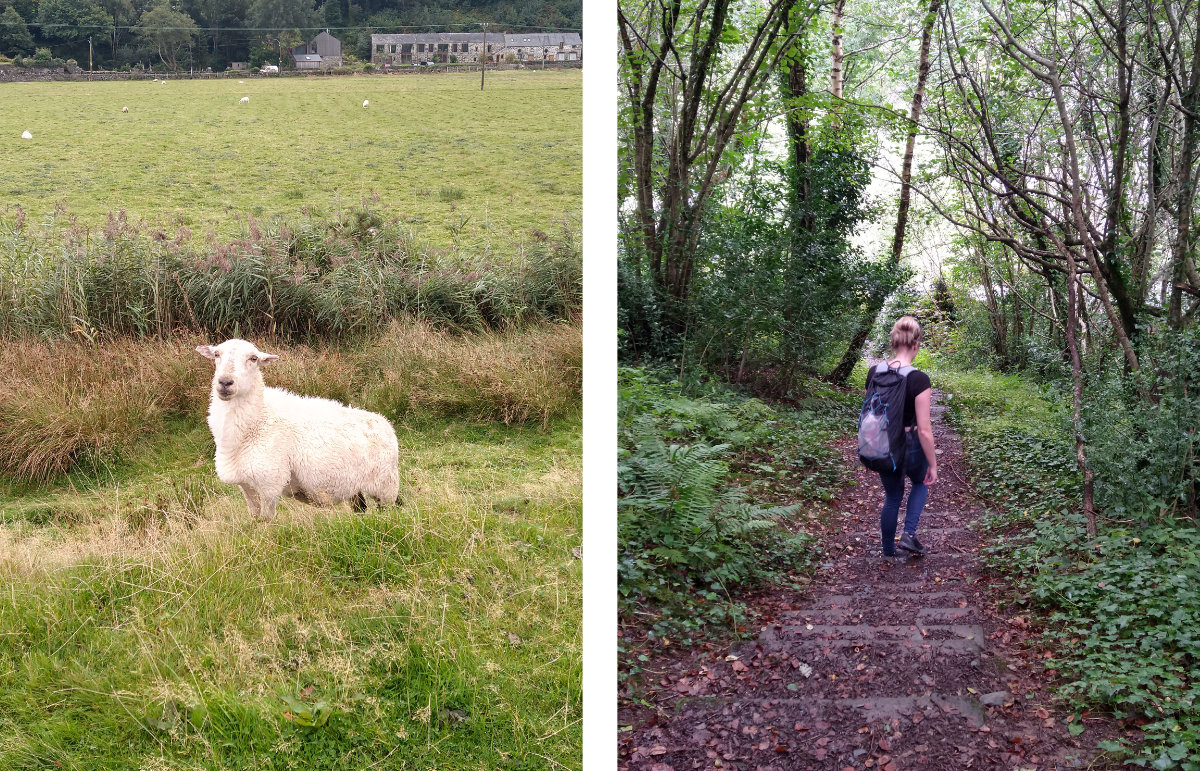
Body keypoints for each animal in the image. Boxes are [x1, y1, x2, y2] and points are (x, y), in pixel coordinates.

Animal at [196, 338, 400, 518]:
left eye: (253, 358)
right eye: (216, 354)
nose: (225, 382)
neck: (258, 420)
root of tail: (385, 423)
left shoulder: (270, 485)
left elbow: (265, 521)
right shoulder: (246, 486)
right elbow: (254, 519)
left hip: (385, 485)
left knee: (387, 511)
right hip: (353, 486)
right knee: (360, 508)